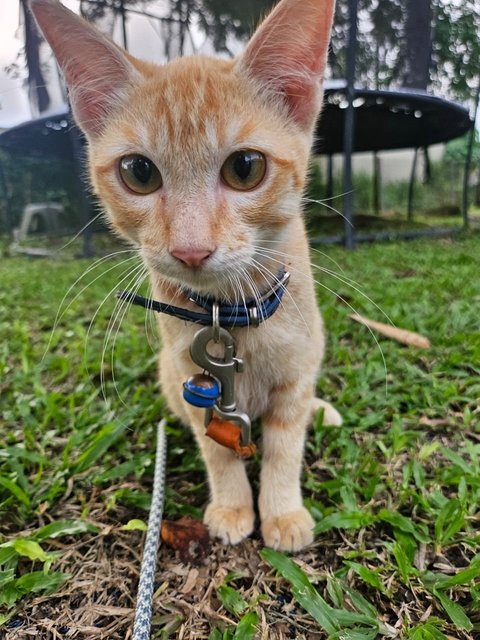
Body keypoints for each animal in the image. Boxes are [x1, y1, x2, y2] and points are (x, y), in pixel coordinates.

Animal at [31, 0, 342, 552]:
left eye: (245, 167)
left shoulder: (297, 366)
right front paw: (234, 506)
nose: (190, 249)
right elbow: (216, 448)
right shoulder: (190, 381)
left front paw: (282, 511)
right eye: (138, 172)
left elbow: (285, 445)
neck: (229, 311)